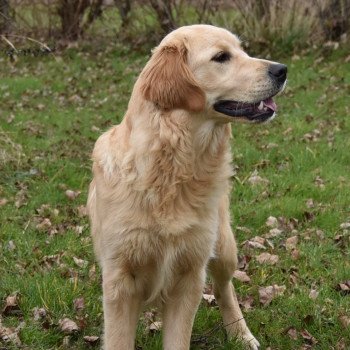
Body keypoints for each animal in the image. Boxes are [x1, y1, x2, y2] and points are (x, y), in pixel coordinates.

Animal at [86, 25, 286, 350]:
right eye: (221, 57)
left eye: (242, 50)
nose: (282, 70)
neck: (171, 169)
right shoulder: (120, 281)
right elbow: (118, 339)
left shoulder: (189, 274)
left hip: (223, 246)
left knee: (224, 288)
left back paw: (241, 334)